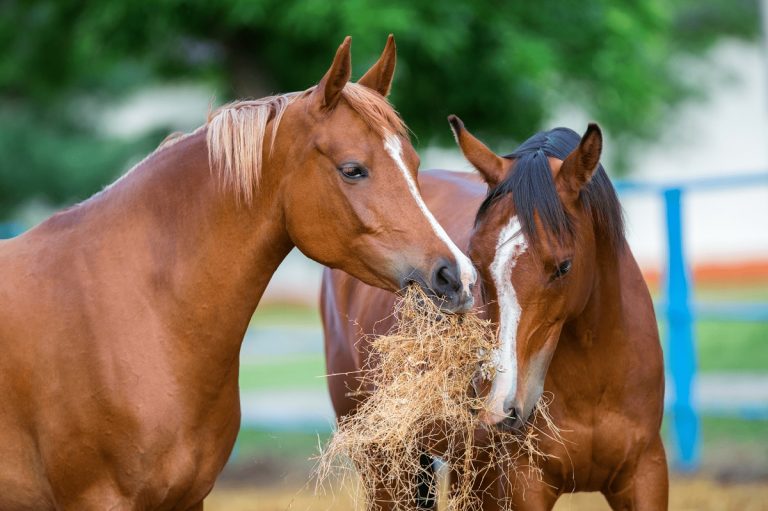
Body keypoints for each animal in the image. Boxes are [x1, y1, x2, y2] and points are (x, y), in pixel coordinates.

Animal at [322, 118, 667, 510]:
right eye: (476, 259)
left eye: (564, 266)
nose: (500, 406)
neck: (595, 381)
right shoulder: (519, 486)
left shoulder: (645, 475)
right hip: (387, 468)